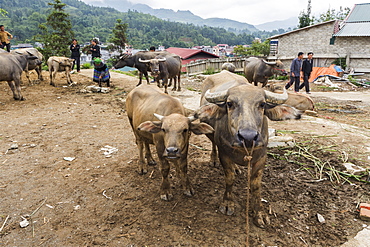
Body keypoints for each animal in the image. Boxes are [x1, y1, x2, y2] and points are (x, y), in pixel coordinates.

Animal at [195, 70, 302, 227]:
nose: (248, 136)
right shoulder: (224, 154)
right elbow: (229, 178)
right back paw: (213, 160)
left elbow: (256, 185)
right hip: (209, 131)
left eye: (262, 104)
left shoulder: (261, 157)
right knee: (213, 143)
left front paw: (259, 213)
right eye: (229, 103)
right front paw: (227, 204)